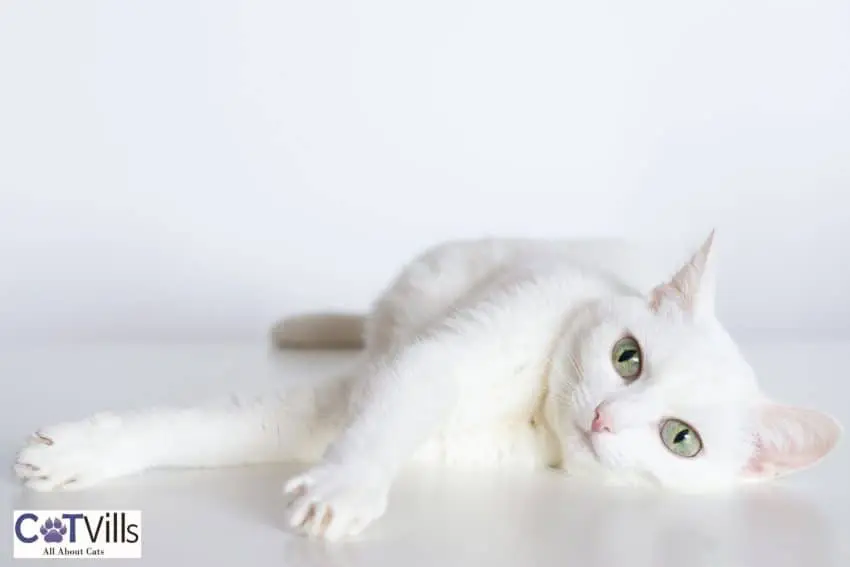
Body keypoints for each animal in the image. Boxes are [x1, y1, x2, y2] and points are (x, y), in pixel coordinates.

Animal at [16, 232, 840, 540]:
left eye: (680, 439)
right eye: (627, 357)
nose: (606, 416)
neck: (533, 411)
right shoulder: (422, 367)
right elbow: (201, 425)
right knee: (373, 329)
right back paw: (305, 326)